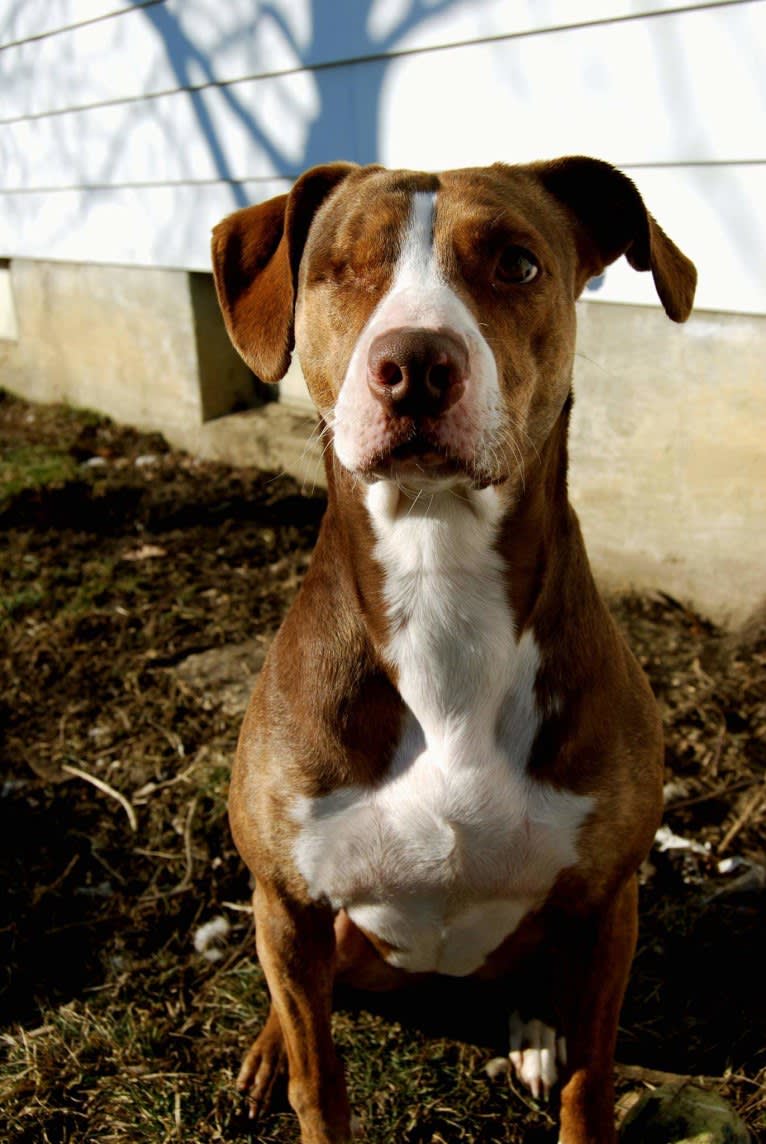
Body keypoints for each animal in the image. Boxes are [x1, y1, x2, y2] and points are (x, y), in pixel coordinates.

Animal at [210, 159, 695, 1144]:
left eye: (517, 264)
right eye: (340, 267)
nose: (416, 367)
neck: (441, 575)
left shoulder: (608, 903)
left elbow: (592, 1079)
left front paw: (568, 1069)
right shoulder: (288, 898)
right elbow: (320, 1080)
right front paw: (293, 1068)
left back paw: (535, 1031)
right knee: (292, 999)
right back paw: (268, 1048)